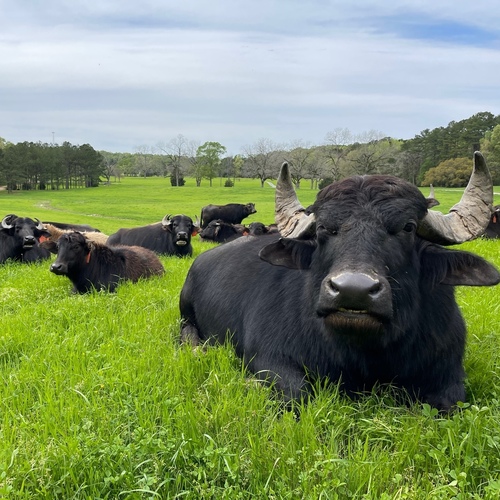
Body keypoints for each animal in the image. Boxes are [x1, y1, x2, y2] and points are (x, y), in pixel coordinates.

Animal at [180, 154, 500, 412]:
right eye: (324, 228)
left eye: (408, 227)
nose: (352, 291)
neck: (365, 355)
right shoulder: (269, 357)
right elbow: (298, 393)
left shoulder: (448, 372)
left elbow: (445, 404)